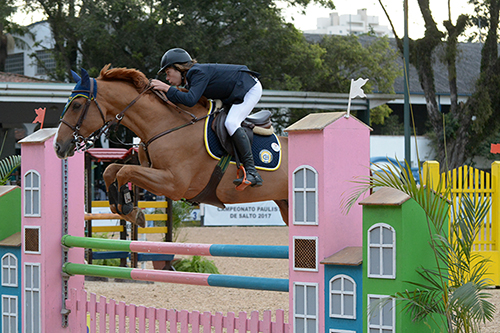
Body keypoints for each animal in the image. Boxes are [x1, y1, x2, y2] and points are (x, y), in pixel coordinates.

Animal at [53, 64, 290, 226]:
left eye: (76, 105)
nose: (58, 147)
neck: (165, 124)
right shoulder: (151, 170)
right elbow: (112, 169)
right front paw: (121, 207)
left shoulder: (174, 184)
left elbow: (124, 172)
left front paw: (130, 208)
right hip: (285, 203)